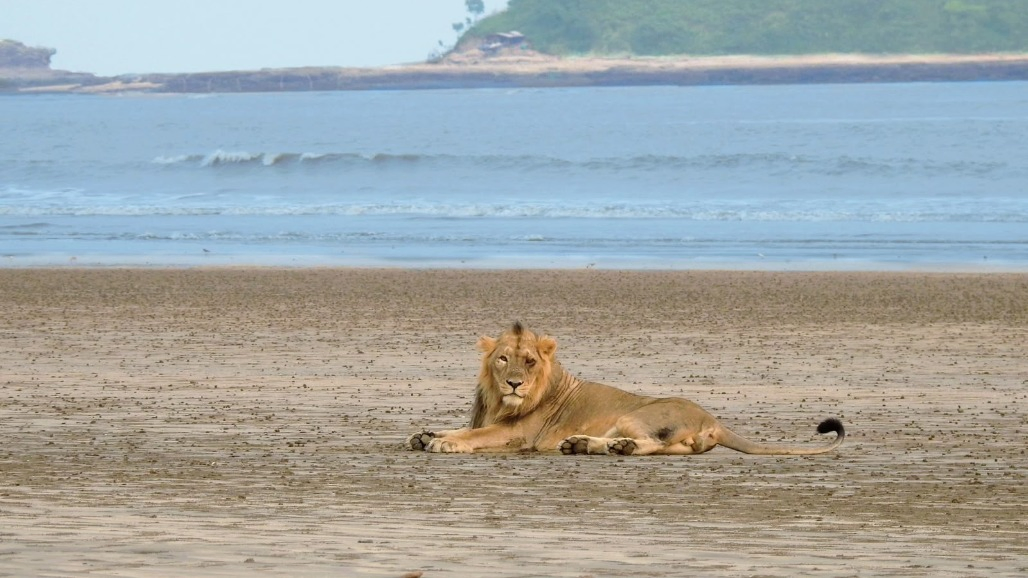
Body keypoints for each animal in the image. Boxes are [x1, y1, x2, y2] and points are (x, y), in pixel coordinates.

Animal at [407, 322, 844, 456]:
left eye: (529, 361)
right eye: (503, 359)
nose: (515, 382)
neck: (500, 401)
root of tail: (713, 418)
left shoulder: (520, 434)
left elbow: (476, 435)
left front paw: (446, 443)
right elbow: (460, 427)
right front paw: (426, 434)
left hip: (636, 415)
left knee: (651, 445)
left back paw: (610, 447)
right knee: (667, 450)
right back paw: (584, 444)